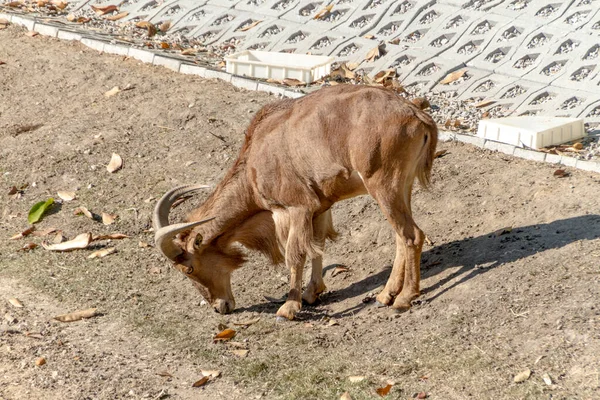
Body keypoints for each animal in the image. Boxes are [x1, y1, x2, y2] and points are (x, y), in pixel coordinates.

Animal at [154, 83, 436, 318]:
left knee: (412, 236)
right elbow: (317, 245)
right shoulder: (320, 209)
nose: (220, 307)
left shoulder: (294, 209)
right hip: (402, 187)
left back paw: (404, 298)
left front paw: (289, 307)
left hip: (383, 186)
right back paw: (385, 295)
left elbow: (295, 254)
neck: (256, 162)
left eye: (189, 269)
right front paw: (312, 293)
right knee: (401, 236)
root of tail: (417, 115)